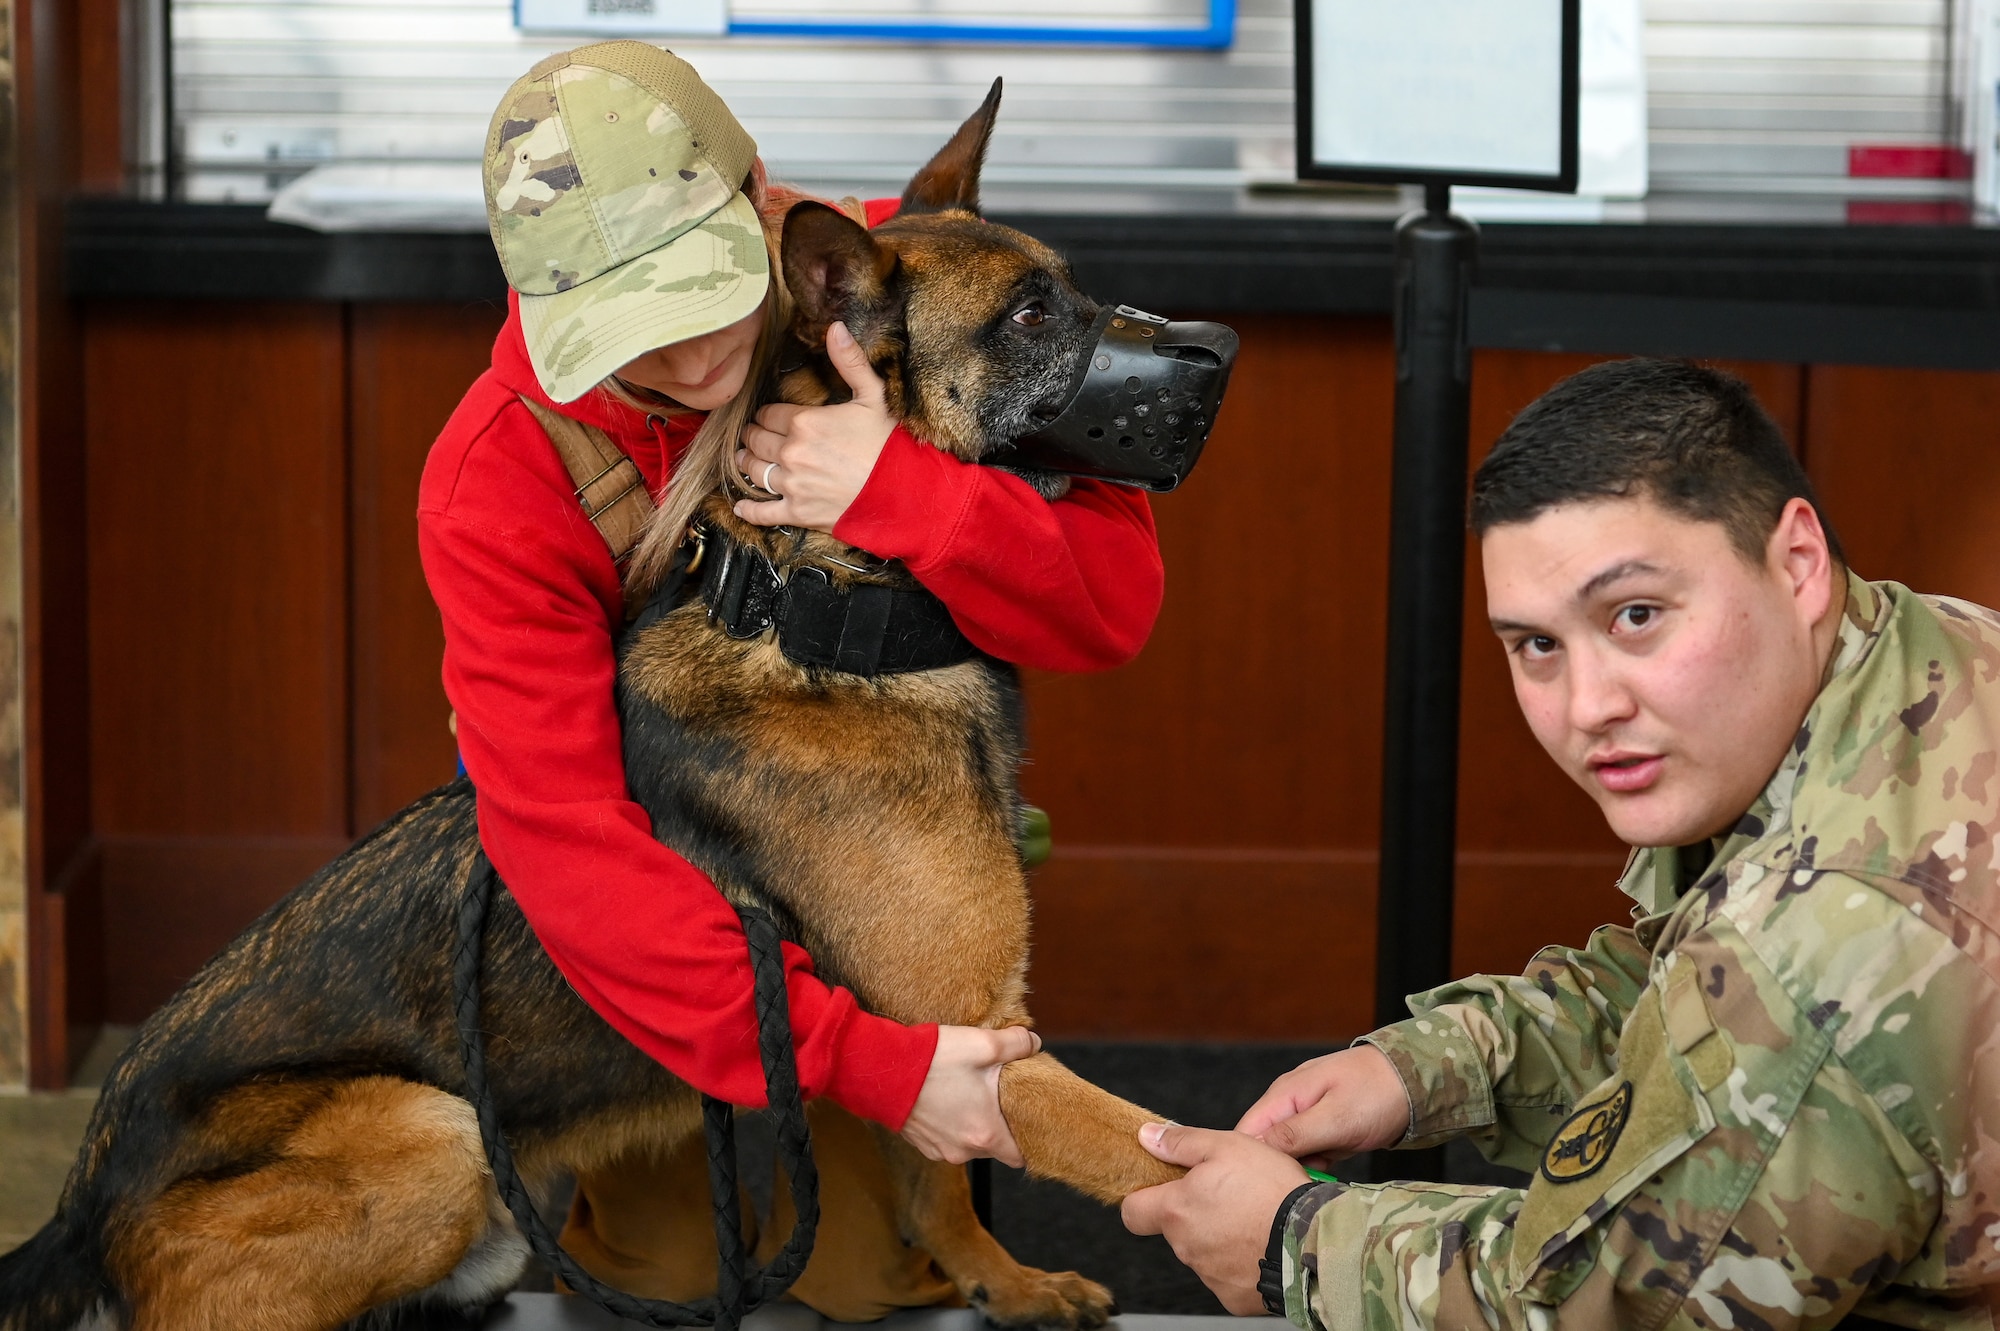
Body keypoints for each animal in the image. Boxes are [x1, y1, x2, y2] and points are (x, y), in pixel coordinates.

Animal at [0, 80, 1184, 1327]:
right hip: (439, 1129)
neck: (816, 604)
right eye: (1029, 318)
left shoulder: (958, 1034)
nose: (1213, 353)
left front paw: (1003, 1279)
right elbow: (1136, 1144)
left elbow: (942, 1186)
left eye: (1071, 288)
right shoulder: (966, 1037)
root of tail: (78, 1206)